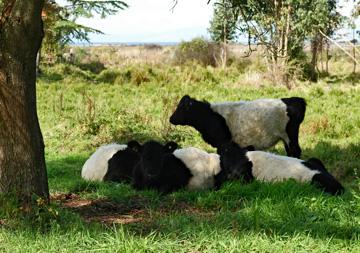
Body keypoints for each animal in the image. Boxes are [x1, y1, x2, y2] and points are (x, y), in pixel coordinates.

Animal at [170, 95, 306, 158]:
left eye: (181, 108)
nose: (171, 119)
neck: (210, 116)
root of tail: (293, 99)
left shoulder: (223, 143)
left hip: (290, 134)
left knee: (295, 151)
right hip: (285, 137)